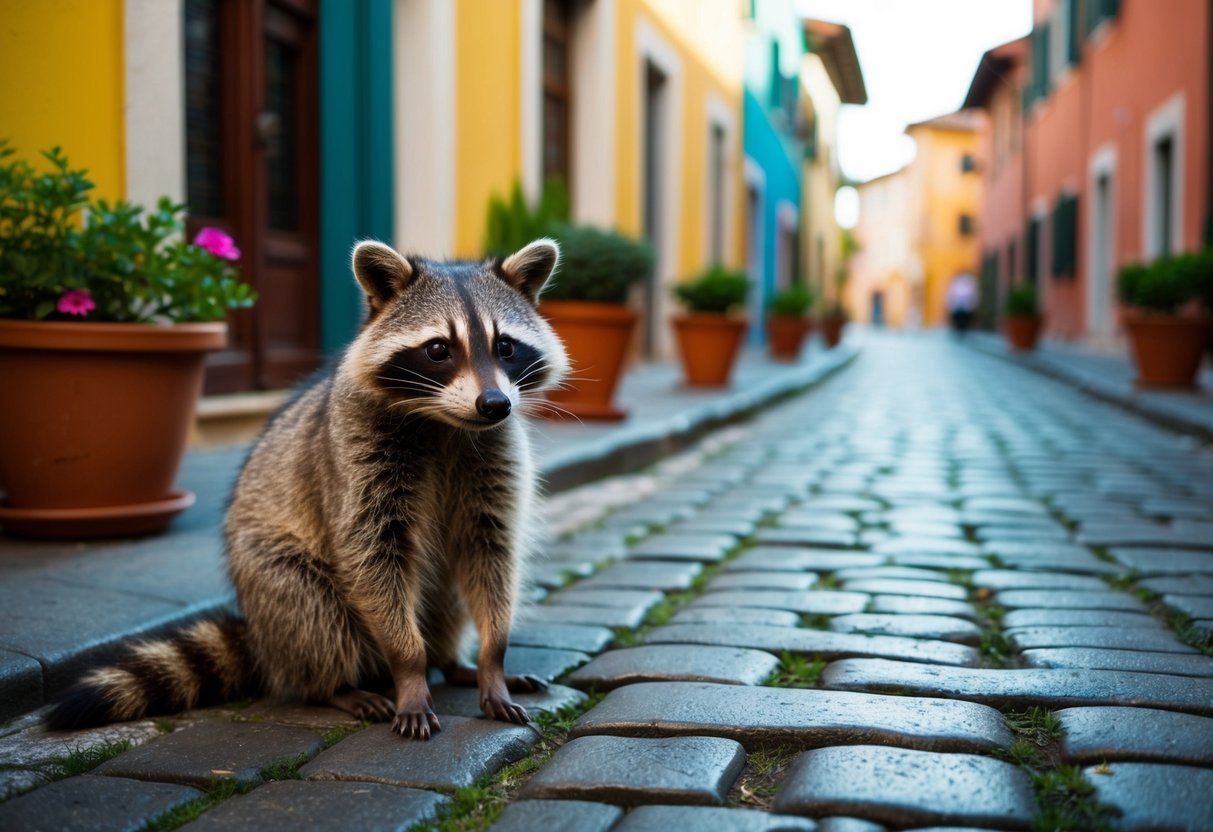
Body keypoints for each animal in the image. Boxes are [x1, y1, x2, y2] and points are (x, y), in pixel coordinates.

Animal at [48, 239, 570, 740]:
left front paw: (491, 661)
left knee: (447, 593)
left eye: (506, 347)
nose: (495, 404)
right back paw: (337, 686)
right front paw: (410, 670)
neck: (445, 422)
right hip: (270, 573)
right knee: (312, 610)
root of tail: (262, 639)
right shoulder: (353, 460)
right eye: (439, 349)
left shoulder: (494, 457)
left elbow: (491, 551)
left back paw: (452, 661)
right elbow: (371, 558)